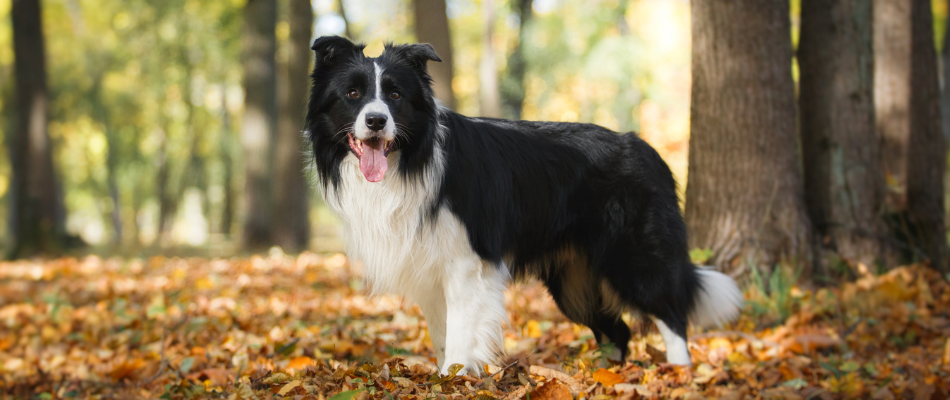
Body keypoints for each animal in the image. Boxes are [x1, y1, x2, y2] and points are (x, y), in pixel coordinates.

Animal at [304, 36, 744, 376]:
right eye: (353, 94)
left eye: (395, 95)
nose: (376, 121)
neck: (411, 160)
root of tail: (647, 149)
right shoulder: (428, 268)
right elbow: (442, 335)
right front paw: (446, 375)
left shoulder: (466, 263)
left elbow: (460, 333)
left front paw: (454, 379)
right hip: (574, 282)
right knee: (618, 331)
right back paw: (605, 377)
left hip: (634, 258)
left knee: (672, 316)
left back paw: (680, 373)